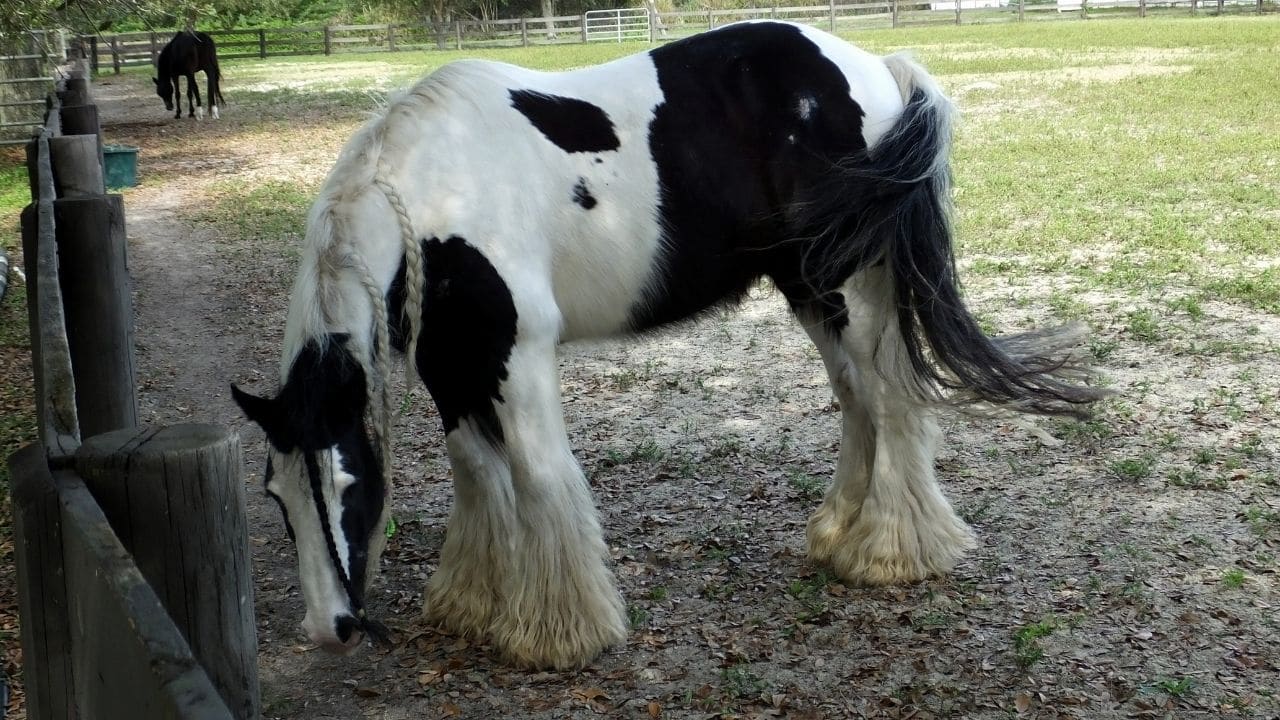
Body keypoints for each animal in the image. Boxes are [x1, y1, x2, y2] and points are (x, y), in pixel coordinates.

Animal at [232, 22, 1111, 671]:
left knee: (891, 400)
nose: (332, 629)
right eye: (275, 494)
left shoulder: (519, 355)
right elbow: (476, 471)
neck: (437, 192)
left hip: (852, 287)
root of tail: (877, 71)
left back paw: (893, 553)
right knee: (858, 399)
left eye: (348, 482)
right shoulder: (454, 367)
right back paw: (840, 536)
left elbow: (538, 475)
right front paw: (473, 606)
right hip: (811, 290)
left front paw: (560, 632)